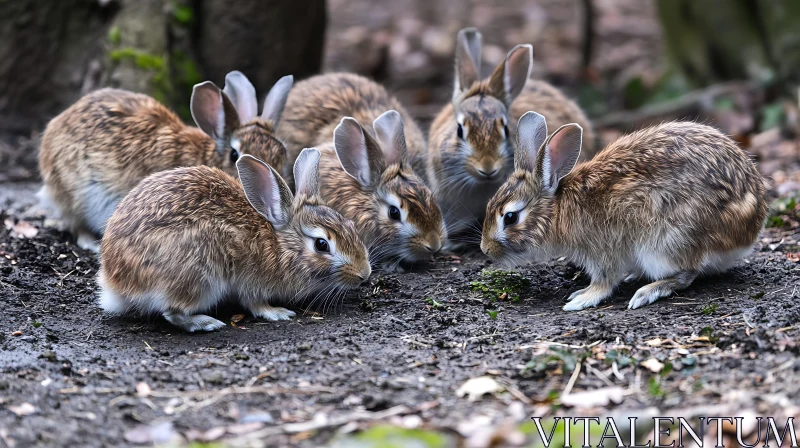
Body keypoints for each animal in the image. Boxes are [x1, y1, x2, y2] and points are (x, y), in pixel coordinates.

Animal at [98, 150, 370, 332]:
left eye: (350, 225)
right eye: (321, 244)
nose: (364, 274)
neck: (280, 245)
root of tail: (115, 282)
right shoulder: (250, 282)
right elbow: (255, 303)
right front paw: (278, 313)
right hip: (198, 275)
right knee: (173, 312)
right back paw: (206, 322)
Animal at [482, 111, 768, 312]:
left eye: (510, 217)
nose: (485, 250)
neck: (558, 210)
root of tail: (749, 232)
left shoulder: (602, 251)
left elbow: (603, 281)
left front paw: (581, 298)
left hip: (666, 241)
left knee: (687, 273)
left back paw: (646, 292)